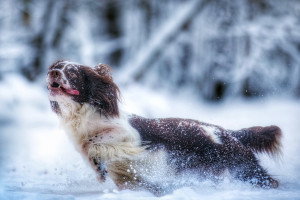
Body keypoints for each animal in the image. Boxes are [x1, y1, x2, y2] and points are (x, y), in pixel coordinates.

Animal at [46, 60, 282, 193]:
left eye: (73, 72)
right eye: (54, 68)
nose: (53, 73)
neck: (84, 116)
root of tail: (229, 133)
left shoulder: (128, 136)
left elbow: (95, 143)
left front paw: (99, 164)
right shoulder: (124, 175)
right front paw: (100, 171)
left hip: (241, 166)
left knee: (267, 181)